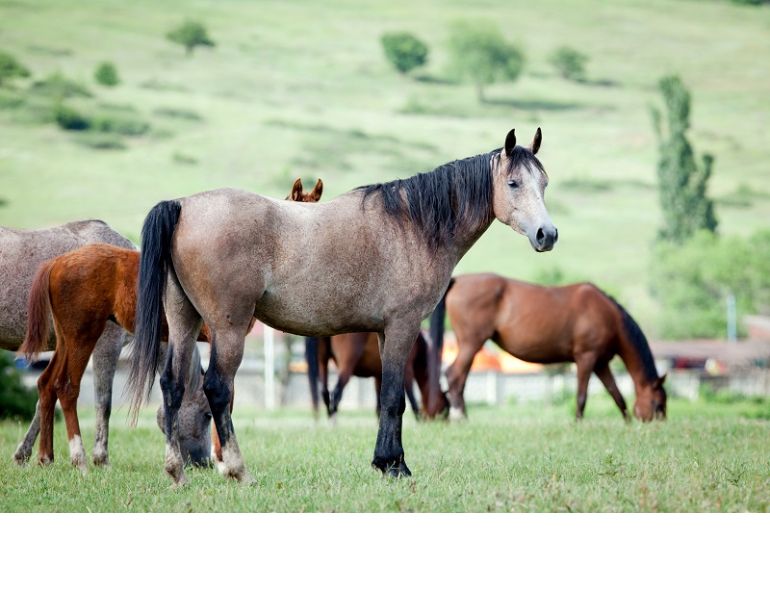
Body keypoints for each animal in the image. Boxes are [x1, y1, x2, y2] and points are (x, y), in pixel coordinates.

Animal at [19, 243, 214, 470]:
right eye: (207, 414)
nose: (205, 462)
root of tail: (56, 262)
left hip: (65, 340)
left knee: (47, 384)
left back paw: (45, 457)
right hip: (83, 338)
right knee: (66, 388)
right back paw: (79, 459)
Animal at [304, 331, 442, 419]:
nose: (443, 420)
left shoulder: (378, 377)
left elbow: (378, 407)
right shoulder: (407, 371)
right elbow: (412, 399)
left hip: (322, 362)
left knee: (325, 394)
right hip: (346, 365)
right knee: (336, 394)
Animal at [427, 273, 667, 421]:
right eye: (658, 404)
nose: (660, 425)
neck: (608, 315)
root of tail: (457, 280)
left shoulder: (600, 363)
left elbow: (616, 394)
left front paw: (627, 422)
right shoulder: (586, 358)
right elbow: (582, 395)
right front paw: (578, 423)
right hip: (472, 343)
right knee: (455, 375)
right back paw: (461, 416)